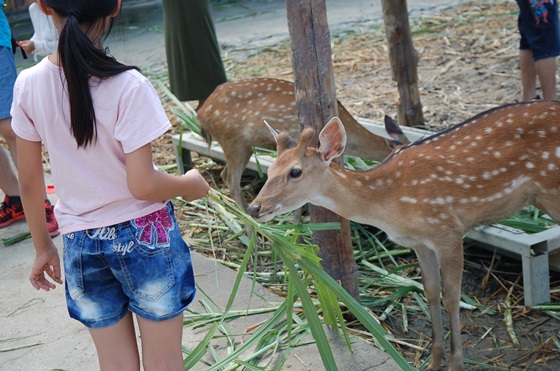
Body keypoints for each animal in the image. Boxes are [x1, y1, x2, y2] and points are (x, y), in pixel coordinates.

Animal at [248, 100, 560, 370]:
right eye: (270, 168)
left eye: (295, 172)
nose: (254, 207)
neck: (391, 203)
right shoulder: (420, 242)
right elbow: (430, 291)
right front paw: (434, 360)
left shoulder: (448, 229)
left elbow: (451, 296)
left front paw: (456, 363)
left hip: (552, 191)